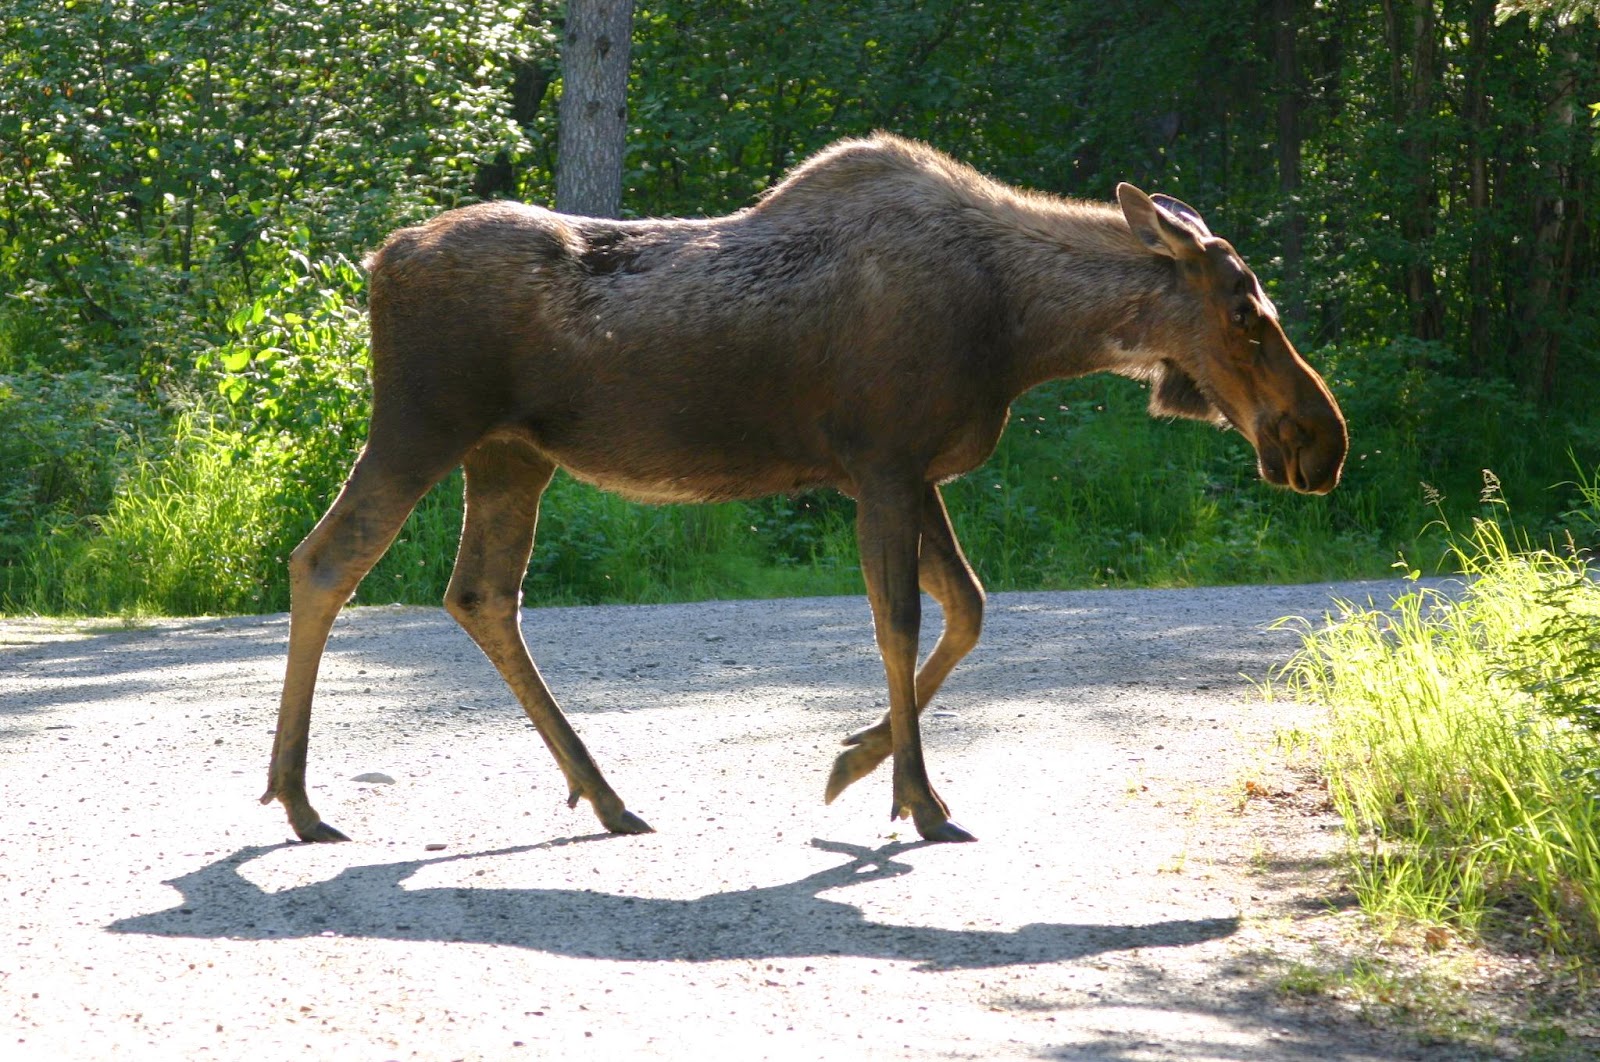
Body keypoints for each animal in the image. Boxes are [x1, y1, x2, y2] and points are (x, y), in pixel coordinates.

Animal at [262, 134, 1347, 846]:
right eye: (1246, 314)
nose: (1323, 441)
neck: (1021, 333)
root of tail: (376, 260)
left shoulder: (911, 471)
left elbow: (968, 609)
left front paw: (857, 759)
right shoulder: (883, 464)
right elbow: (901, 621)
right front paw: (917, 799)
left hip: (509, 456)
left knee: (481, 593)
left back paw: (603, 795)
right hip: (420, 428)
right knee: (325, 561)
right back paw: (300, 800)